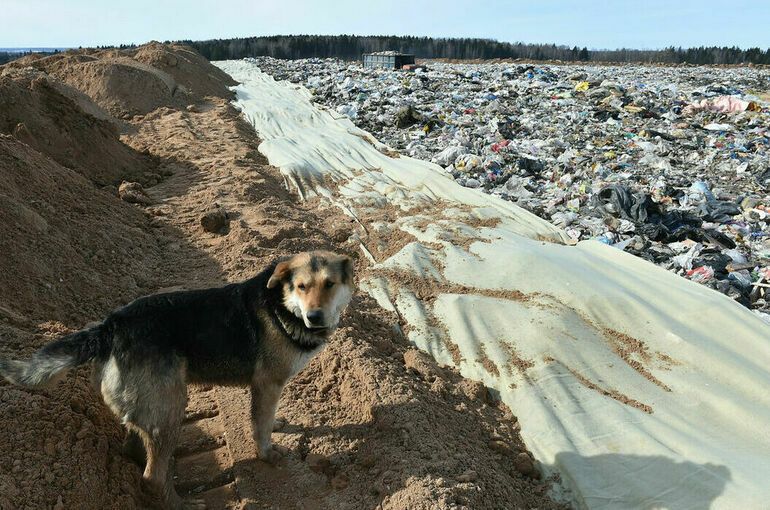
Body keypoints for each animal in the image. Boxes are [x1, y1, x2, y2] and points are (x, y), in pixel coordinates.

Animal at [0, 251, 354, 510]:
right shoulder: (267, 383)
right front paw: (267, 455)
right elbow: (261, 427)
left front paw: (280, 424)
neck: (281, 306)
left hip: (147, 406)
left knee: (134, 449)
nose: (315, 318)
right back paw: (181, 503)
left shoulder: (269, 388)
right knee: (152, 477)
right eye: (301, 287)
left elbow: (267, 419)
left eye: (330, 284)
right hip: (170, 407)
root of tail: (111, 326)